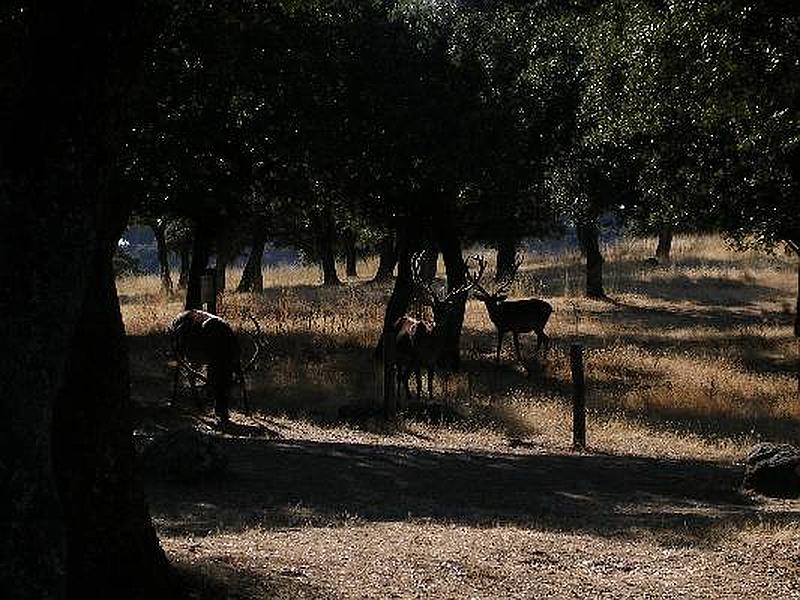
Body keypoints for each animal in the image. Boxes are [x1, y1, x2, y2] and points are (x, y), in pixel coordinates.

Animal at [390, 251, 484, 400]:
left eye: (446, 309)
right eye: (434, 308)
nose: (438, 322)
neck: (430, 345)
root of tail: (399, 319)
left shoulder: (432, 361)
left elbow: (429, 383)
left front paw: (430, 397)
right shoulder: (417, 358)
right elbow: (418, 382)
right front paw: (419, 398)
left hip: (408, 359)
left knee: (404, 377)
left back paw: (408, 396)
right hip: (398, 354)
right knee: (399, 376)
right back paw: (400, 397)